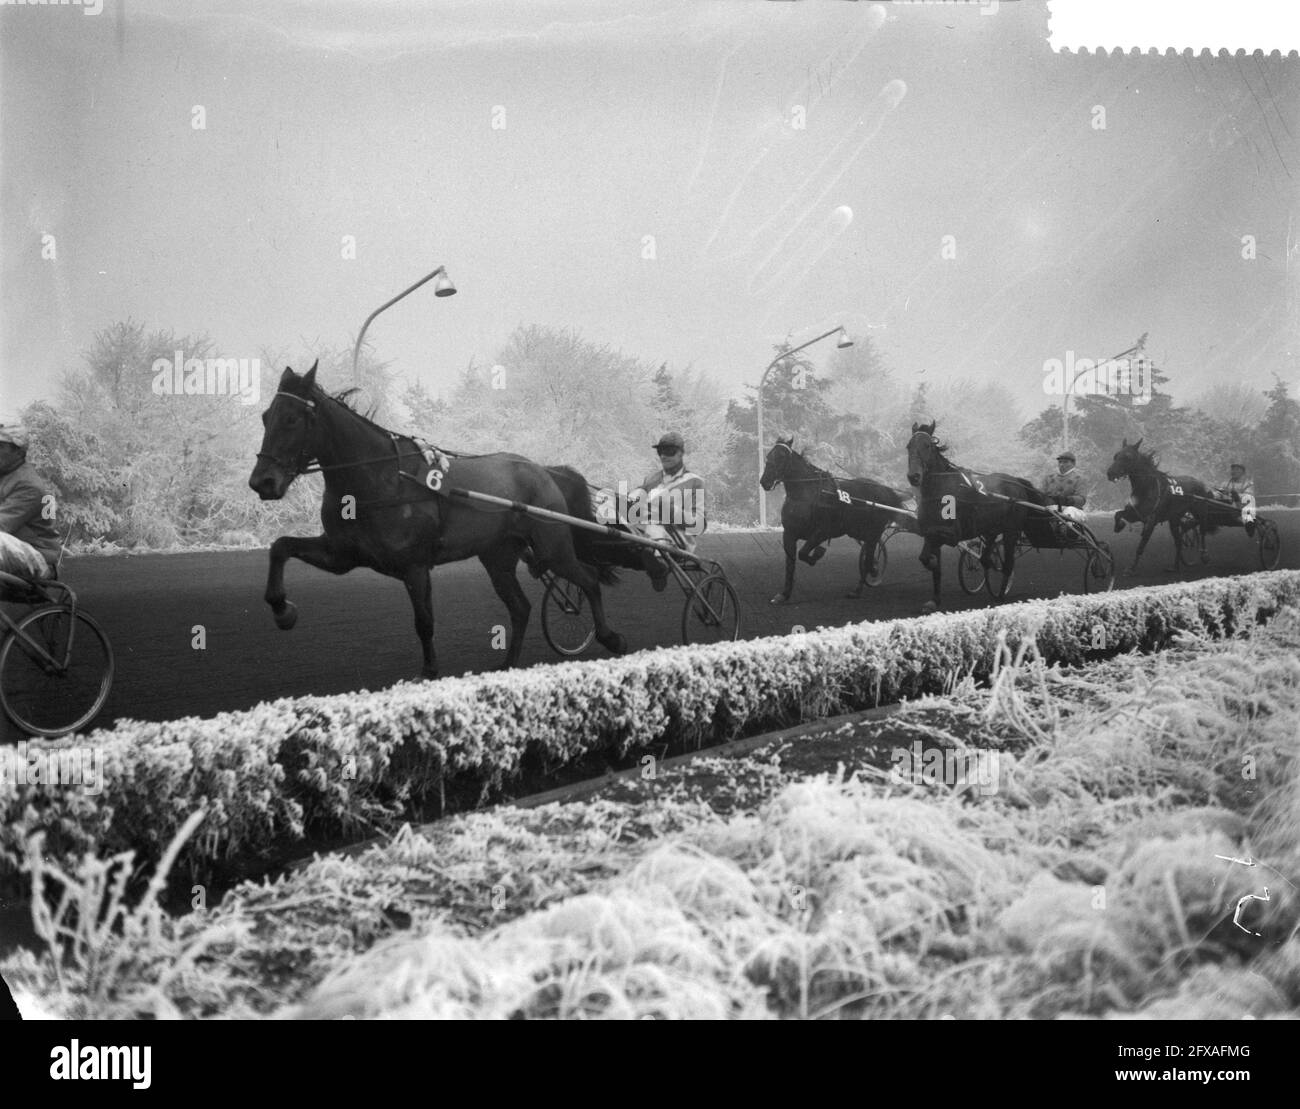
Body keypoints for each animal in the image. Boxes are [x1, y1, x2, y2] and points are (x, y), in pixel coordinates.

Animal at [245, 364, 631, 676]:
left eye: (292, 418)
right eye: (265, 416)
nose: (262, 482)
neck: (379, 478)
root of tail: (546, 470)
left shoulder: (415, 565)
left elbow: (424, 621)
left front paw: (429, 670)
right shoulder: (343, 555)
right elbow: (280, 547)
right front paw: (282, 609)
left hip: (552, 548)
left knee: (589, 579)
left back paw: (611, 637)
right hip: (498, 556)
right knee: (521, 607)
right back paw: (507, 663)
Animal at [759, 434, 909, 605]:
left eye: (782, 456)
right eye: (769, 455)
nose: (764, 481)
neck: (806, 495)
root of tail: (885, 490)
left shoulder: (822, 531)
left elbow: (803, 553)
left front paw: (817, 553)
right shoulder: (789, 534)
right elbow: (790, 564)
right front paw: (783, 594)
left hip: (874, 531)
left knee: (869, 558)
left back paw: (863, 582)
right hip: (859, 531)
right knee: (868, 556)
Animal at [904, 421, 1045, 613]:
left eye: (927, 446)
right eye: (909, 446)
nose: (914, 476)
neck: (940, 490)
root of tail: (1017, 482)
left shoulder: (949, 534)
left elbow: (929, 559)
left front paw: (932, 563)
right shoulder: (929, 532)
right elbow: (931, 564)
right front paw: (934, 600)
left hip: (1011, 531)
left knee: (1008, 564)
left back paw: (1000, 594)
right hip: (991, 528)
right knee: (987, 554)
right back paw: (990, 565)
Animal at [1102, 434, 1211, 572]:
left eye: (1128, 457)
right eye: (1116, 456)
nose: (1110, 473)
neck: (1147, 488)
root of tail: (1200, 483)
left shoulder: (1151, 521)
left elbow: (1141, 545)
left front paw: (1131, 568)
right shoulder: (1136, 515)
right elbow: (1118, 514)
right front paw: (1119, 526)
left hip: (1199, 511)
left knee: (1201, 528)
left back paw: (1204, 556)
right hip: (1174, 519)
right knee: (1179, 541)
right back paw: (1175, 567)